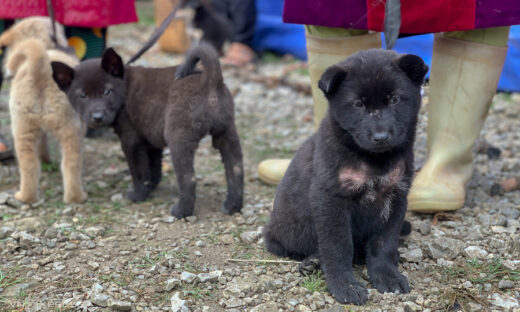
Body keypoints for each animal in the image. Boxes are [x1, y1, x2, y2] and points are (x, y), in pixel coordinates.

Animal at [6, 38, 86, 205]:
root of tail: (41, 70)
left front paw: (46, 160)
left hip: (23, 129)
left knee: (29, 164)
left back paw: (25, 197)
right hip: (72, 130)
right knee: (71, 163)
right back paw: (76, 198)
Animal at [50, 43, 244, 219]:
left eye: (107, 92)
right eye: (82, 95)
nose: (97, 117)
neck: (124, 86)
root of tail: (210, 81)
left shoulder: (131, 142)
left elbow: (138, 172)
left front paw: (138, 195)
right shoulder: (151, 141)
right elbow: (153, 168)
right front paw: (151, 187)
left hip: (179, 139)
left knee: (188, 179)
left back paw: (181, 211)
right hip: (228, 134)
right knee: (236, 171)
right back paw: (232, 206)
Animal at [264, 49, 426, 304]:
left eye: (395, 100)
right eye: (358, 104)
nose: (381, 137)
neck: (373, 160)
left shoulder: (397, 196)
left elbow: (384, 242)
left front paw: (386, 275)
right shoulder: (332, 201)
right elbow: (338, 247)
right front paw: (345, 285)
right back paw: (312, 262)